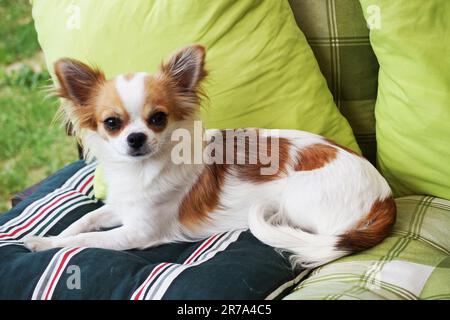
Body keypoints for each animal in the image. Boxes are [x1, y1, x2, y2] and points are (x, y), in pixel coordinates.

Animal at [22, 43, 396, 266]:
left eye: (158, 118)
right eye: (111, 123)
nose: (136, 138)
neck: (141, 170)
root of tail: (386, 197)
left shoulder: (137, 233)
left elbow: (86, 239)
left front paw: (44, 244)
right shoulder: (121, 207)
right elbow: (84, 220)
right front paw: (51, 235)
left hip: (298, 198)